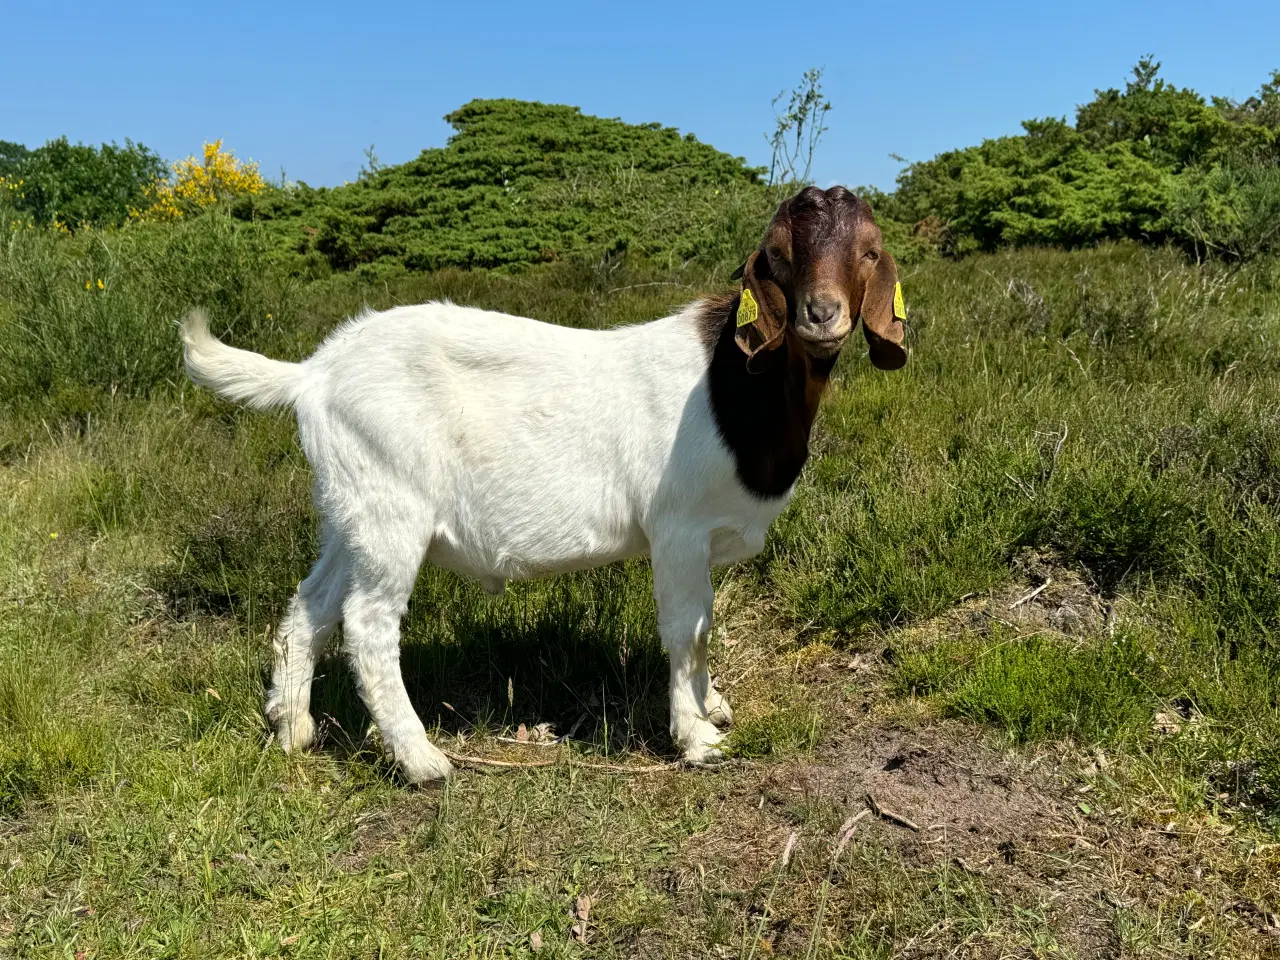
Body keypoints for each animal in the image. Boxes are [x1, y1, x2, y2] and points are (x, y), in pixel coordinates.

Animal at [185, 185, 911, 783]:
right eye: (779, 256)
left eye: (869, 252)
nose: (821, 316)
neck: (736, 386)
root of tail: (313, 374)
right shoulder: (677, 528)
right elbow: (687, 628)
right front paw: (697, 738)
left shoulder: (705, 538)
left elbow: (706, 623)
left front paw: (714, 705)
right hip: (393, 507)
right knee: (368, 621)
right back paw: (421, 760)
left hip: (350, 509)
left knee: (312, 604)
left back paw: (293, 729)